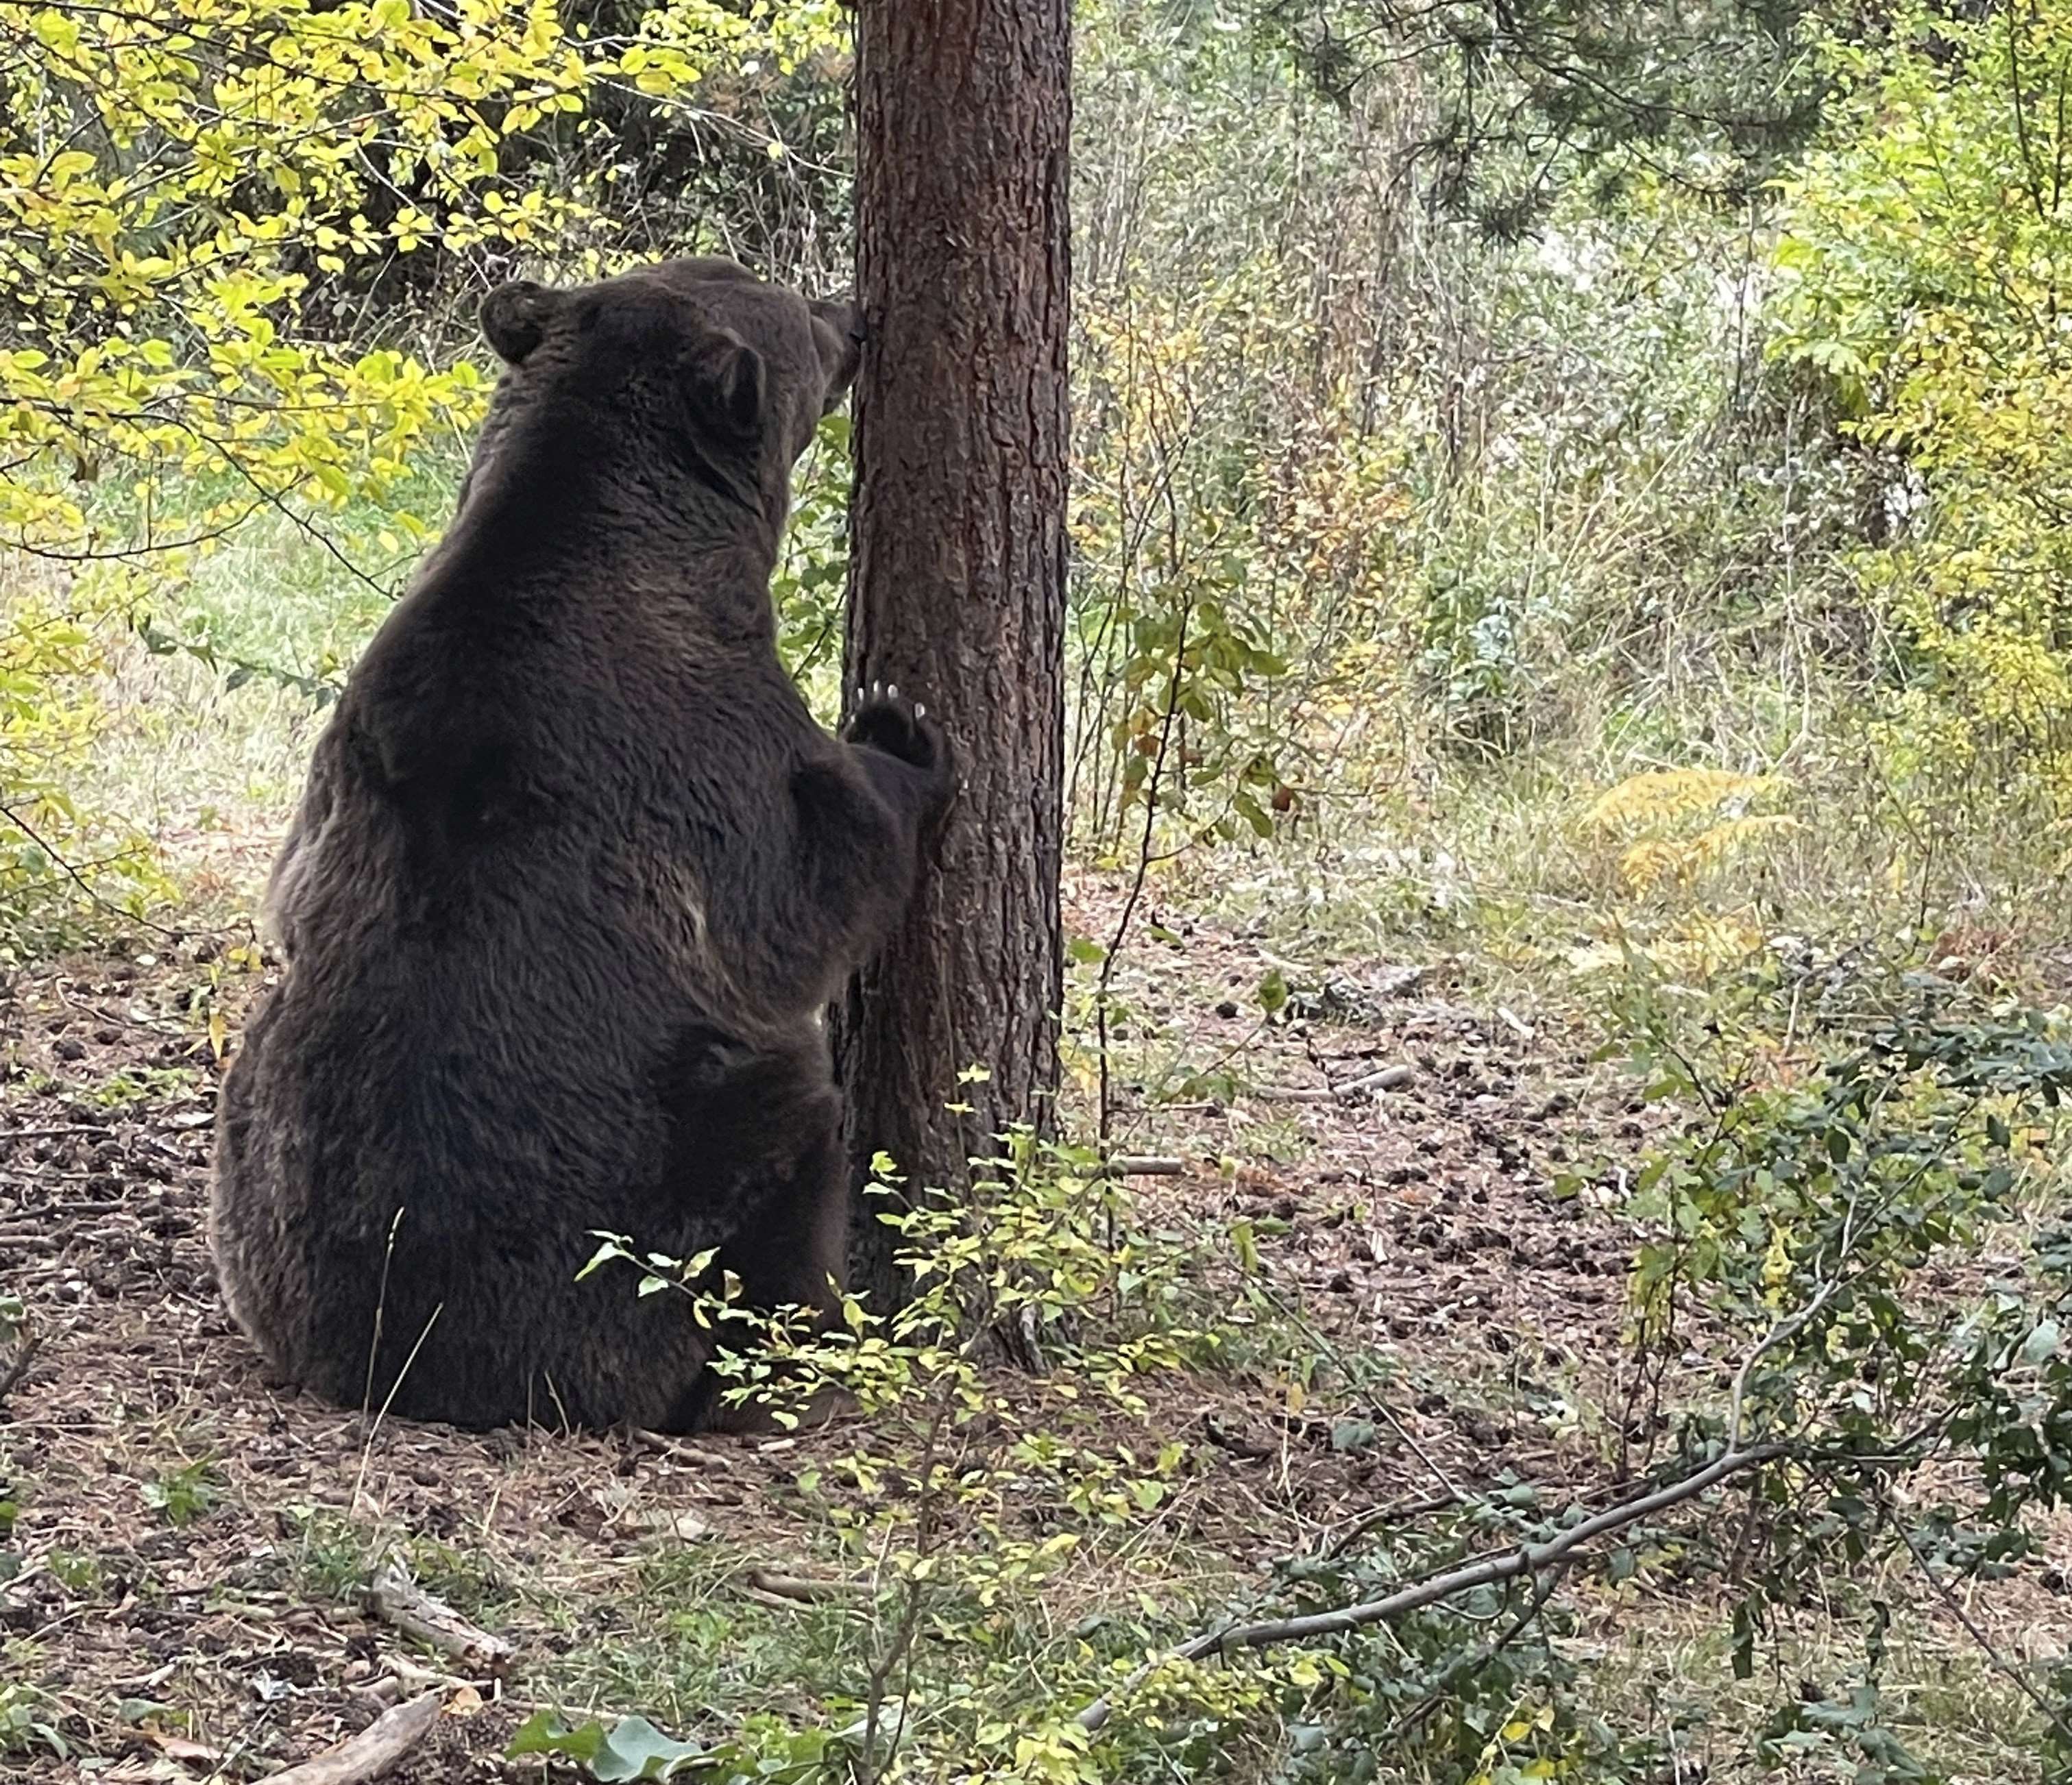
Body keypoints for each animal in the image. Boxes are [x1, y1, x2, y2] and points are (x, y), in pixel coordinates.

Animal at [210, 258, 953, 1441]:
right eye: (791, 310)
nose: (855, 312)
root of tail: (417, 1375)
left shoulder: (344, 763)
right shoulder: (697, 748)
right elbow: (808, 896)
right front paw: (901, 728)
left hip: (250, 1166)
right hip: (654, 1214)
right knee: (788, 1142)